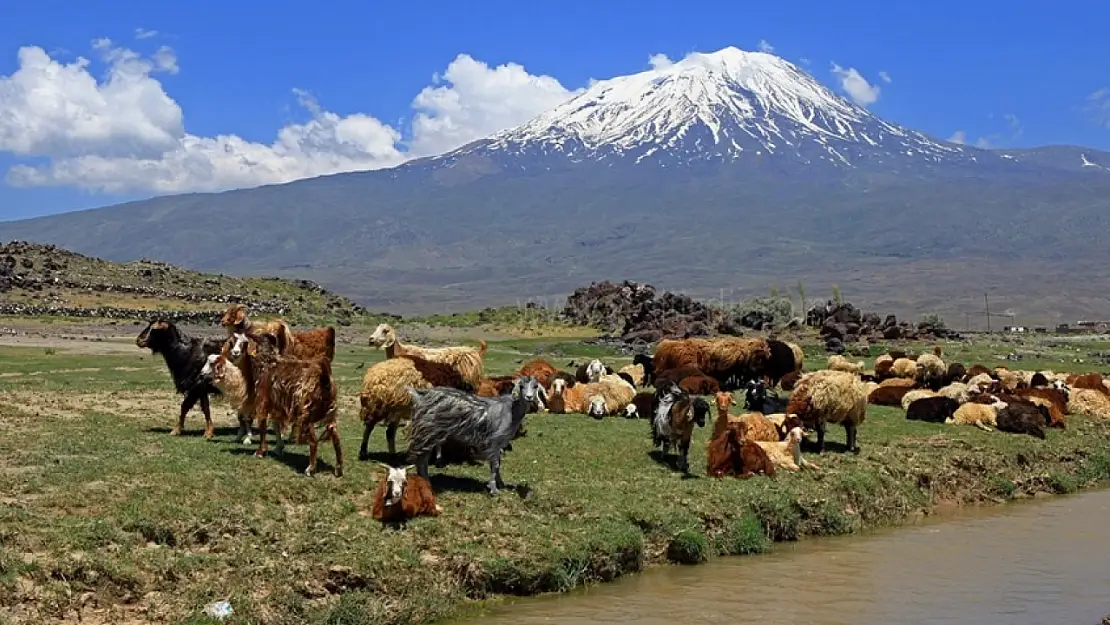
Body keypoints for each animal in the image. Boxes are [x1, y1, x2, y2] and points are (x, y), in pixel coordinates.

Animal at [410, 375, 543, 497]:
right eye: (521, 386)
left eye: (535, 386)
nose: (529, 397)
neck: (512, 410)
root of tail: (421, 395)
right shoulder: (494, 441)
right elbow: (495, 465)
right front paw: (494, 489)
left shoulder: (499, 443)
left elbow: (497, 464)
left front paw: (500, 483)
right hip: (428, 432)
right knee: (421, 460)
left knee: (422, 459)